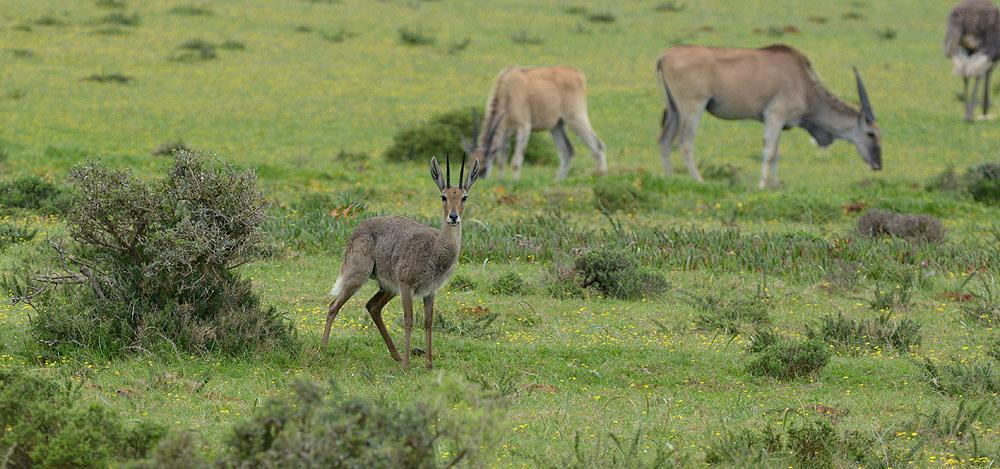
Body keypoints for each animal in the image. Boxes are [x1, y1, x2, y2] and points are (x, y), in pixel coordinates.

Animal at [470, 66, 608, 180]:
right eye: (471, 163)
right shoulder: (506, 131)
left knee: (598, 145)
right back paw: (558, 180)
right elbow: (502, 159)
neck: (507, 90)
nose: (480, 177)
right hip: (556, 126)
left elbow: (516, 160)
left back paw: (601, 174)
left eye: (483, 164)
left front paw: (515, 181)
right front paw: (501, 180)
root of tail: (576, 73)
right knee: (567, 151)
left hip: (575, 118)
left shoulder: (524, 127)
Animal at [656, 44, 884, 189]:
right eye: (871, 133)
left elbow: (776, 152)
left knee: (665, 141)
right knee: (685, 142)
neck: (805, 85)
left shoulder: (780, 123)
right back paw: (699, 181)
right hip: (692, 108)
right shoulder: (774, 116)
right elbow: (768, 151)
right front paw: (762, 185)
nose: (878, 165)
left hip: (674, 110)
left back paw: (669, 179)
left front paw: (775, 184)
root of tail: (665, 55)